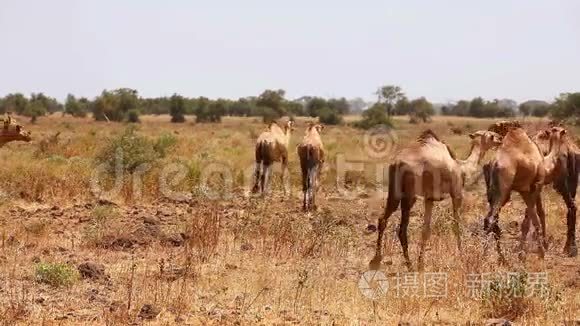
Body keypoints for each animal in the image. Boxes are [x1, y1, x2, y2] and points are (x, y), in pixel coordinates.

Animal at [372, 129, 502, 270]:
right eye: (491, 135)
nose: (500, 138)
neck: (461, 167)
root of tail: (397, 163)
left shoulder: (429, 199)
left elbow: (425, 230)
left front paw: (421, 263)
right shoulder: (456, 194)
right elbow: (456, 226)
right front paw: (461, 255)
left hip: (394, 191)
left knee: (383, 219)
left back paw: (376, 261)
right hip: (410, 193)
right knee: (402, 229)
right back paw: (408, 265)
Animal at [480, 123, 568, 262]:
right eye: (561, 132)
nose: (566, 132)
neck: (545, 163)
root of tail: (493, 163)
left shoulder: (525, 190)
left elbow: (536, 214)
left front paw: (535, 249)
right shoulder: (536, 185)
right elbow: (533, 218)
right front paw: (538, 252)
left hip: (494, 193)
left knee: (491, 220)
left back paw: (501, 258)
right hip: (503, 189)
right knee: (491, 219)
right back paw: (485, 256)